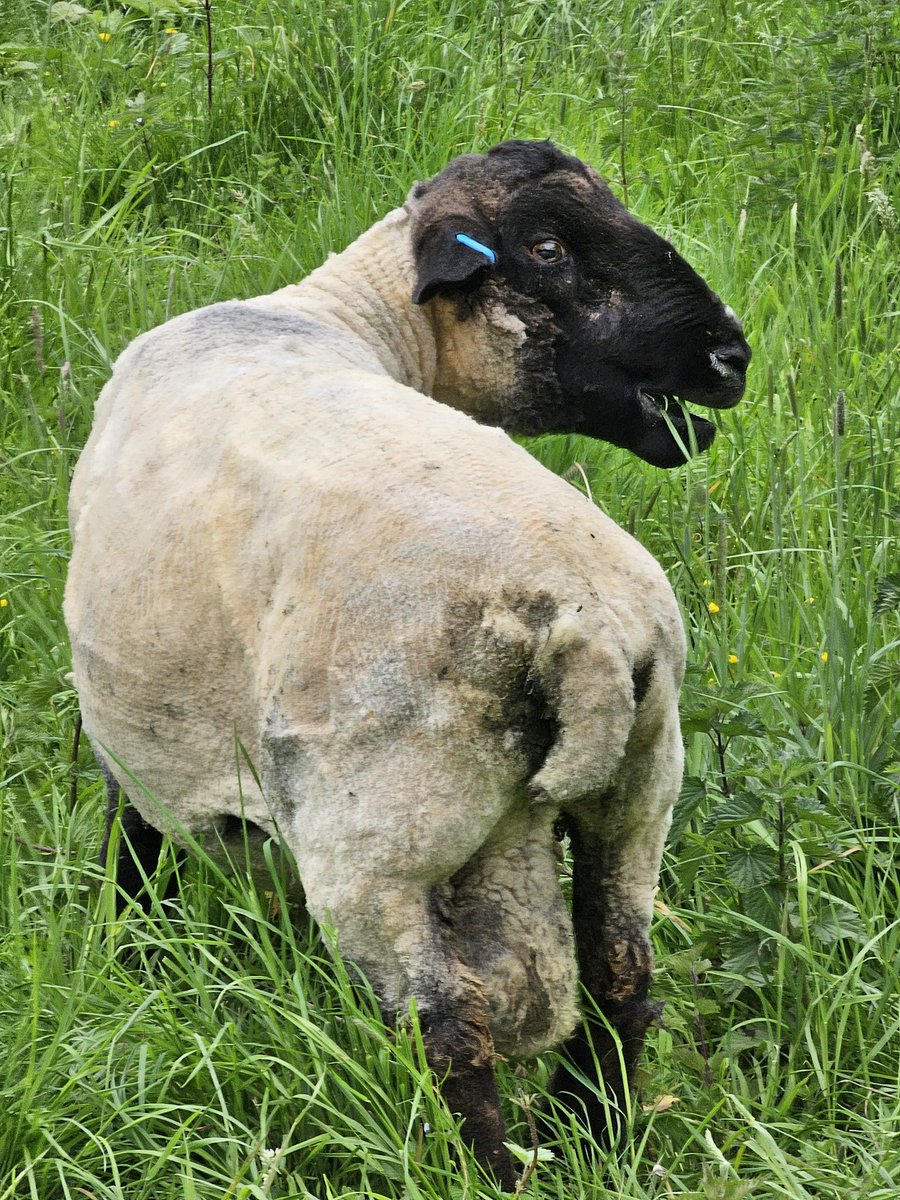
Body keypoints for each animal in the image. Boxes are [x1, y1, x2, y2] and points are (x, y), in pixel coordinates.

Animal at [66, 142, 748, 1190]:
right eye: (547, 248)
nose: (730, 358)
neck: (335, 317)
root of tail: (585, 633)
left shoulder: (127, 745)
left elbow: (131, 860)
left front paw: (122, 956)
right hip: (641, 789)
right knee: (622, 981)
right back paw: (597, 1144)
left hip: (380, 832)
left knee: (451, 1032)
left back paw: (486, 1172)